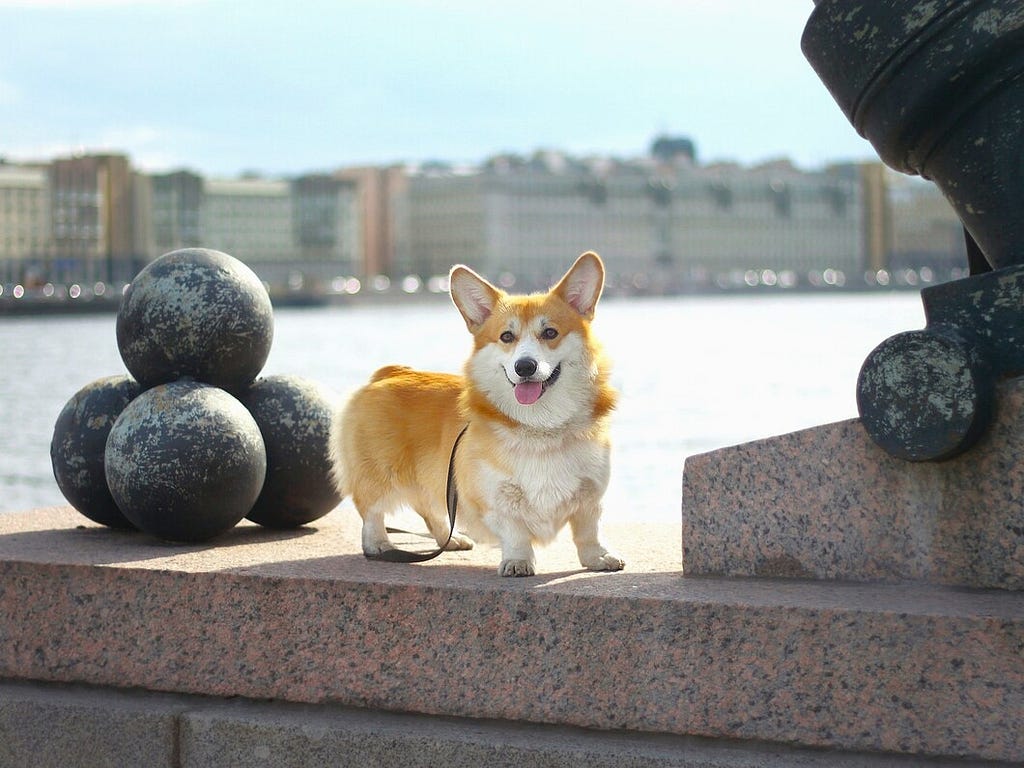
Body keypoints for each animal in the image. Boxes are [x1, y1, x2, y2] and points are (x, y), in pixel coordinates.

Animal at [331, 252, 622, 577]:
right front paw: (518, 562)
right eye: (506, 336)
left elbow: (589, 531)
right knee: (372, 512)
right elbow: (516, 532)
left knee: (428, 509)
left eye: (550, 333)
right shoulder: (495, 497)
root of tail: (390, 372)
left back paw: (450, 539)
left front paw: (598, 558)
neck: (540, 426)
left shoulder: (590, 494)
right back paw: (379, 544)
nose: (525, 366)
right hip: (379, 475)